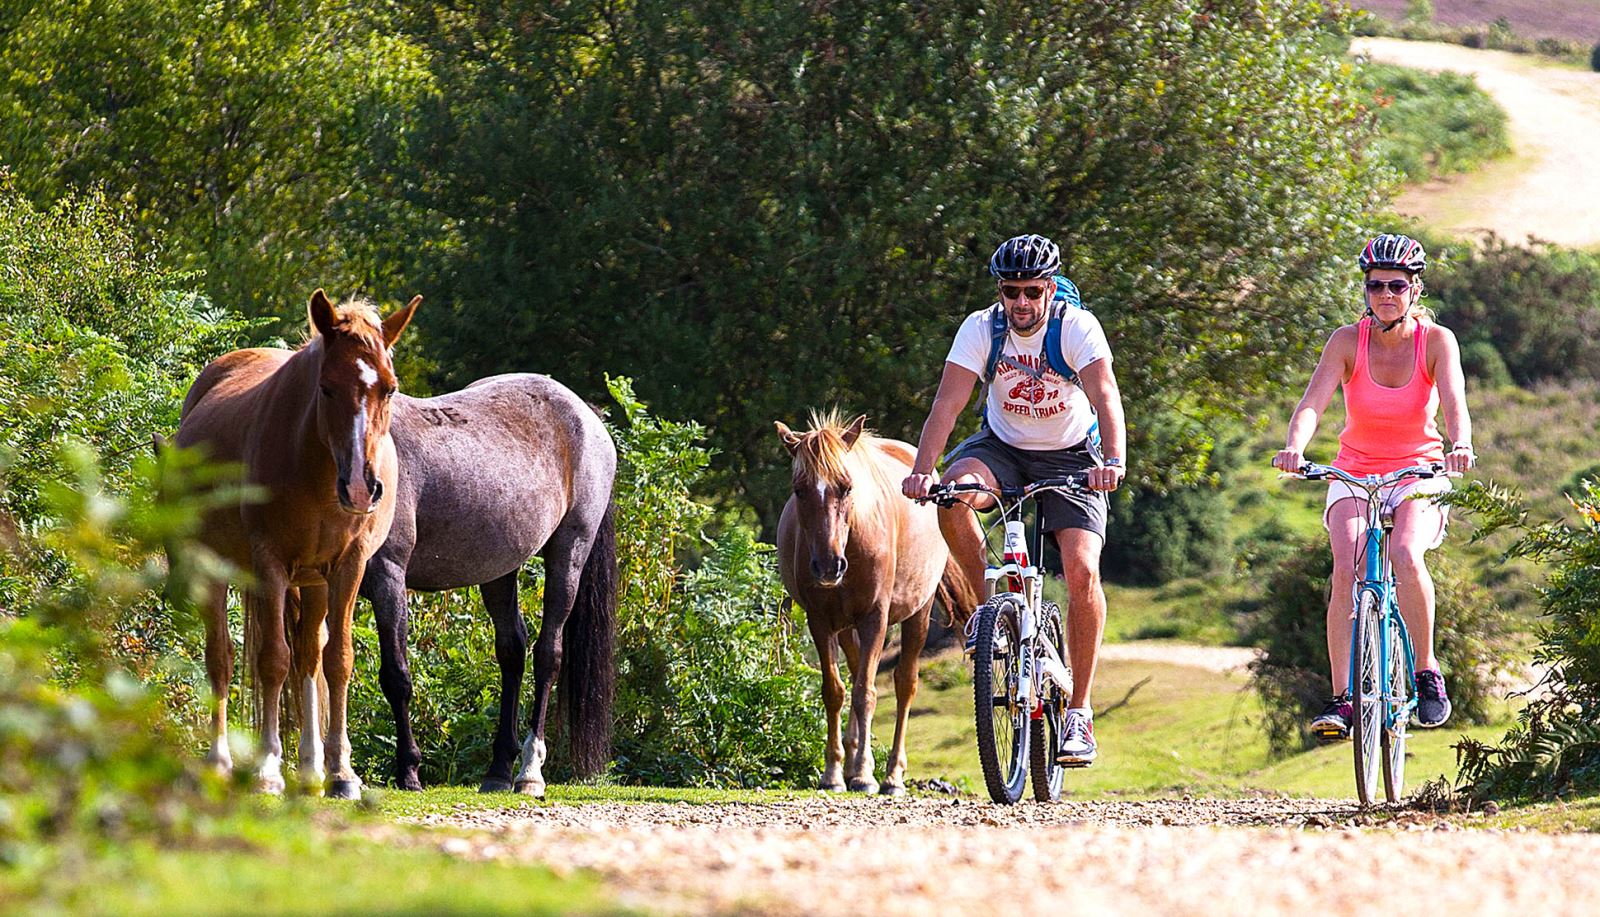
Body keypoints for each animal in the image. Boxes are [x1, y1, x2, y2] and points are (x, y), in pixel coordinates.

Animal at [175, 288, 419, 793]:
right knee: (222, 659)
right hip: (216, 567)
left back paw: (311, 766)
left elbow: (336, 660)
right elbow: (272, 659)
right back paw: (220, 761)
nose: (361, 487)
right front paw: (268, 766)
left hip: (314, 582)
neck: (316, 467)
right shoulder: (269, 564)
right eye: (326, 388)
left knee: (310, 655)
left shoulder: (348, 566)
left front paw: (341, 770)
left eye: (389, 387)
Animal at [363, 371, 617, 793]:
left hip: (570, 554)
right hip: (499, 571)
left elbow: (395, 676)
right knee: (512, 650)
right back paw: (498, 769)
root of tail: (584, 413)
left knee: (548, 654)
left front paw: (409, 771)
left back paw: (529, 771)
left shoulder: (388, 579)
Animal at [774, 416, 972, 793]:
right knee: (854, 675)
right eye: (798, 490)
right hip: (846, 627)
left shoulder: (875, 619)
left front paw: (866, 773)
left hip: (917, 614)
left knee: (904, 684)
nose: (828, 566)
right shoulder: (820, 621)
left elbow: (866, 692)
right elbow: (835, 691)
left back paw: (893, 775)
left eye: (846, 487)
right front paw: (834, 772)